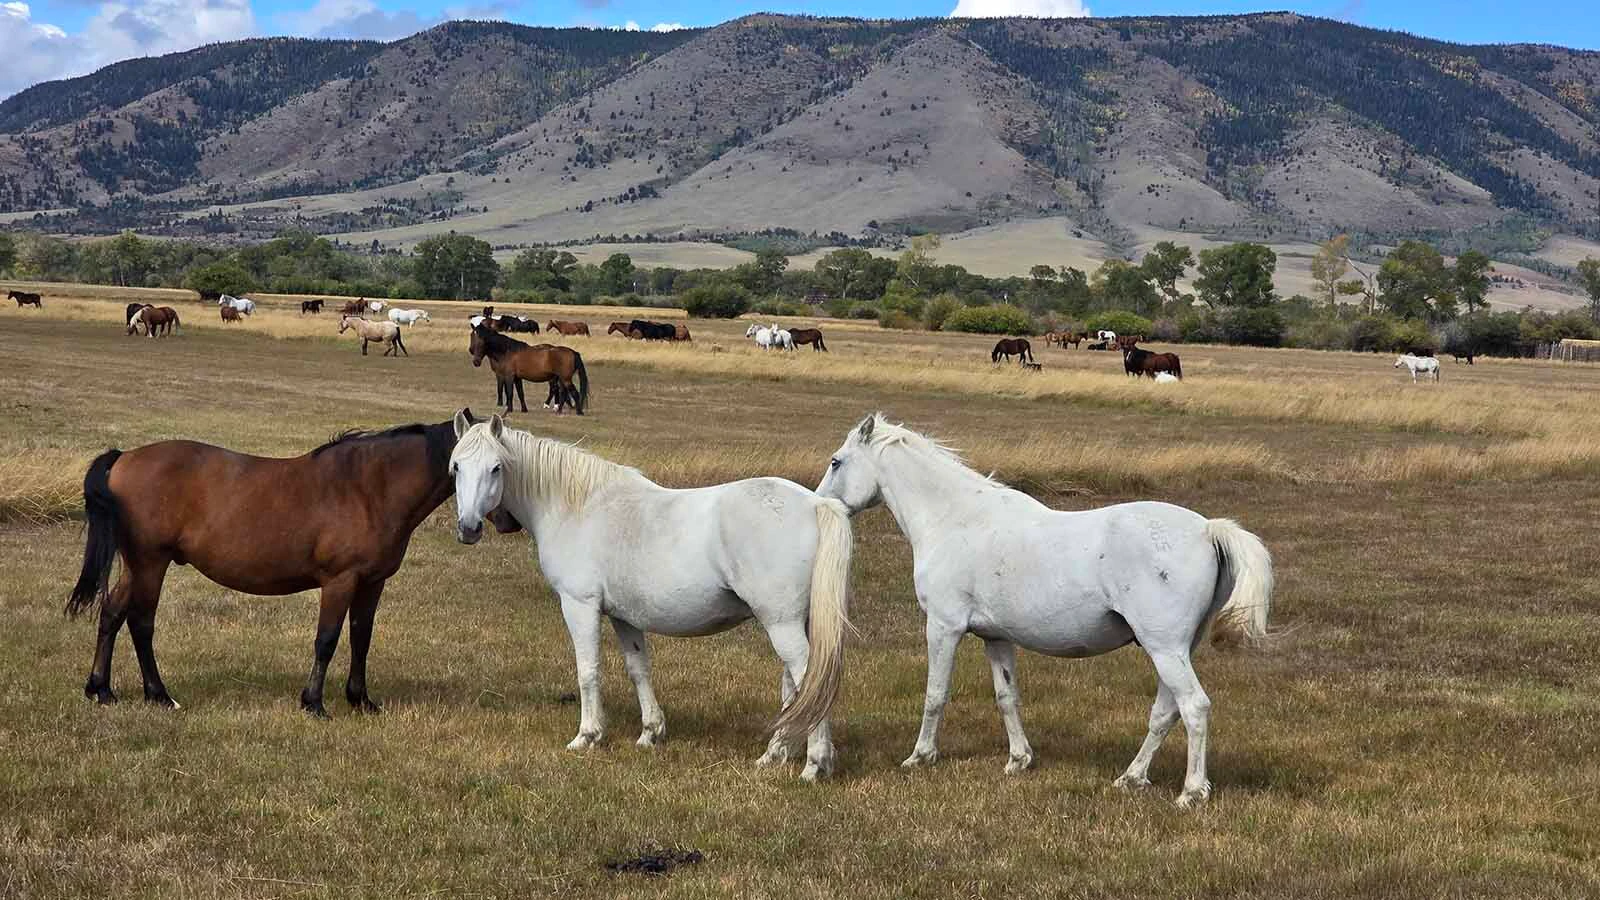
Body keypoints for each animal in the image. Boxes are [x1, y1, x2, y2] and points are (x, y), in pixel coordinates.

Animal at [66, 421, 459, 716]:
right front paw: (313, 703)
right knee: (141, 622)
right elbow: (327, 639)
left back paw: (101, 689)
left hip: (136, 565)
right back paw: (159, 694)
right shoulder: (341, 581)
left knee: (112, 612)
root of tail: (124, 457)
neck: (368, 488)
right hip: (151, 562)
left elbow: (361, 637)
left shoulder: (372, 582)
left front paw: (361, 700)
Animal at [448, 410, 852, 780]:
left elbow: (587, 669)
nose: (468, 528)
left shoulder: (579, 606)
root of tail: (817, 505)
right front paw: (650, 734)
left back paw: (815, 765)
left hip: (781, 623)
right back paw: (774, 754)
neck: (578, 506)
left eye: (496, 468)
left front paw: (587, 736)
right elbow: (638, 669)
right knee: (795, 688)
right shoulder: (624, 616)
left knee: (807, 678)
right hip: (793, 621)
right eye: (455, 468)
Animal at [816, 415, 1273, 806]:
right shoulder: (995, 637)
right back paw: (1131, 778)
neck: (956, 519)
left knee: (1194, 707)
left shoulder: (943, 627)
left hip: (1165, 649)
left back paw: (1191, 792)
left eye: (836, 461)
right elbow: (1007, 697)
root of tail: (1207, 529)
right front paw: (1019, 760)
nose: (819, 507)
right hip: (1175, 651)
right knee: (1165, 712)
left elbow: (935, 694)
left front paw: (920, 756)